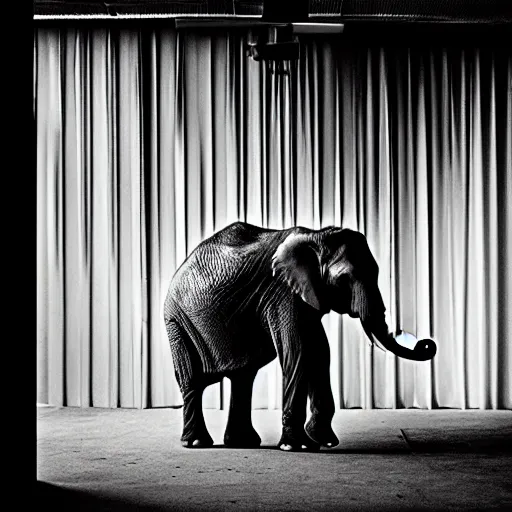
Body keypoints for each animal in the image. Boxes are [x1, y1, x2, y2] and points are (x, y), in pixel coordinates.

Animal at [164, 222, 436, 450]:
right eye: (344, 279)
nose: (424, 343)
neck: (317, 236)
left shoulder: (307, 295)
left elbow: (320, 352)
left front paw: (323, 441)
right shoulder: (282, 292)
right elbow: (299, 351)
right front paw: (298, 446)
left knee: (243, 377)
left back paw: (242, 443)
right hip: (177, 323)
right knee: (193, 380)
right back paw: (197, 443)